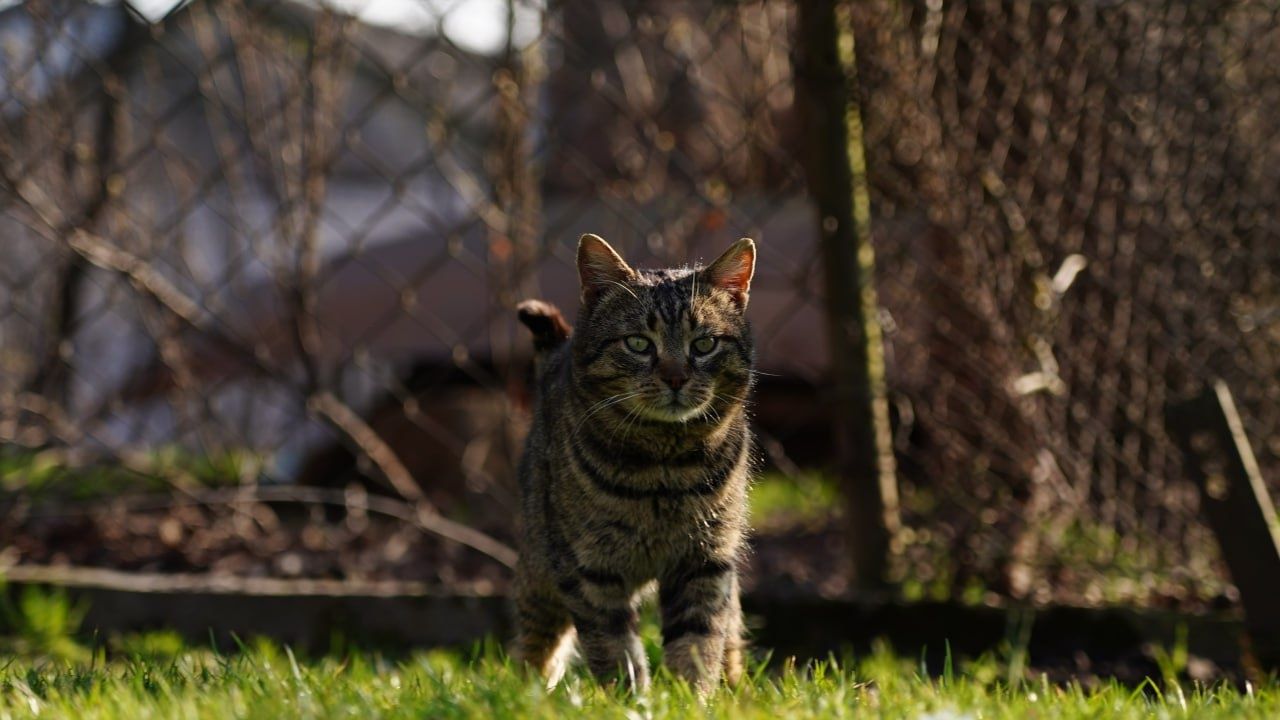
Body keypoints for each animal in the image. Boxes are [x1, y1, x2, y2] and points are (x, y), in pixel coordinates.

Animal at [509, 233, 752, 691]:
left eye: (704, 344)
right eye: (639, 343)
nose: (675, 378)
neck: (664, 467)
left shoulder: (705, 561)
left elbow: (698, 640)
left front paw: (691, 697)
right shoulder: (590, 570)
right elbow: (613, 646)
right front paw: (630, 697)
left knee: (731, 631)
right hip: (540, 570)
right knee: (535, 644)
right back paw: (527, 692)